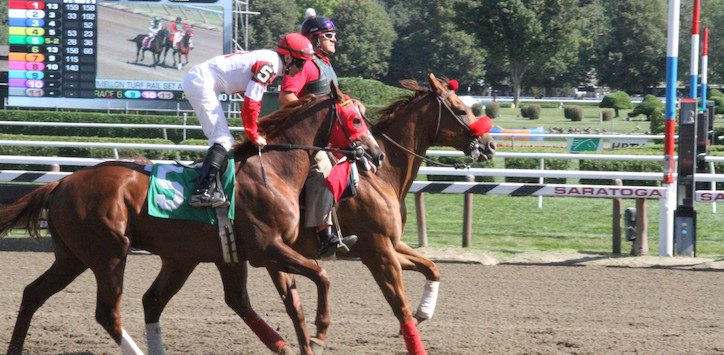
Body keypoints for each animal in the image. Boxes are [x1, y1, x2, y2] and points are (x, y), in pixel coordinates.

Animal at [1, 81, 384, 355]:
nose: (377, 154)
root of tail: (62, 182)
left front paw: (303, 342)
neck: (273, 170)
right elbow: (321, 276)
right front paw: (321, 330)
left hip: (86, 257)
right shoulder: (266, 250)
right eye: (355, 119)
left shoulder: (238, 256)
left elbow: (282, 303)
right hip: (109, 252)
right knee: (108, 312)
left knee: (36, 294)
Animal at [139, 73, 494, 354]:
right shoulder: (378, 250)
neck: (381, 174)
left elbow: (432, 267)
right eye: (461, 110)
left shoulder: (387, 246)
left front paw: (424, 311)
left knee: (209, 299)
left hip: (211, 254)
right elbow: (399, 305)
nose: (489, 145)